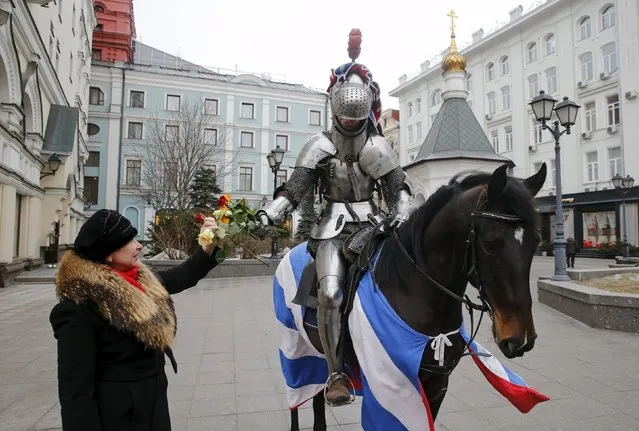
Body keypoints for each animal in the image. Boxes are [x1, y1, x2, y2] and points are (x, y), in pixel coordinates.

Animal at [278, 164, 548, 430]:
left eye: (536, 241)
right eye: (490, 243)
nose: (521, 339)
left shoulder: (436, 383)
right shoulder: (388, 387)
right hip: (294, 347)